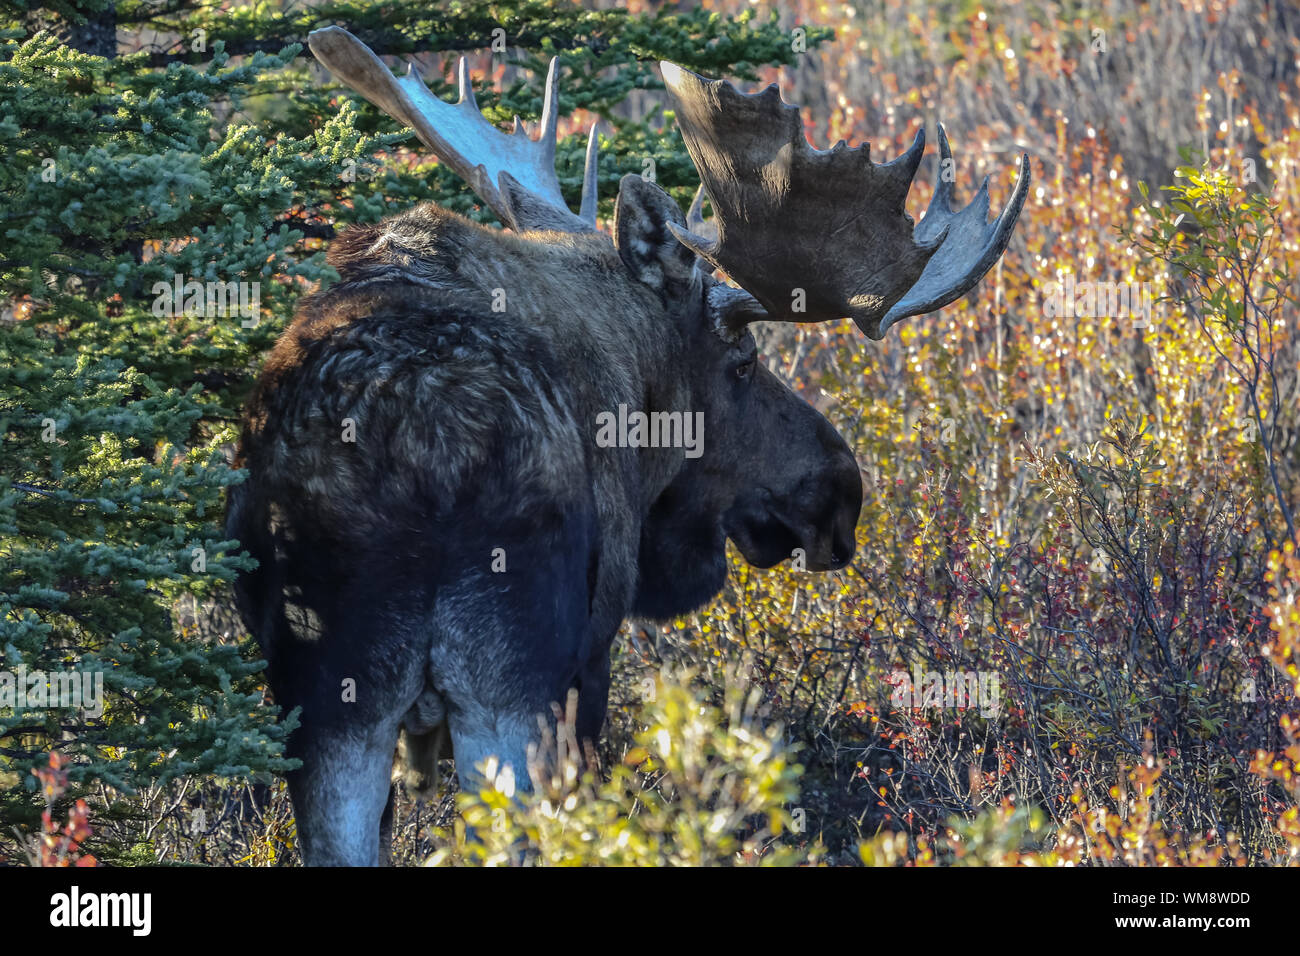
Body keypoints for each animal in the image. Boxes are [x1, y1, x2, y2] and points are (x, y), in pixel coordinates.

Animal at [225, 26, 1029, 865]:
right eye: (744, 364)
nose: (840, 493)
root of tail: (422, 446)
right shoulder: (592, 651)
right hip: (502, 682)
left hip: (330, 700)